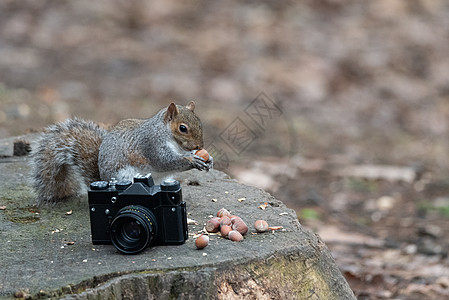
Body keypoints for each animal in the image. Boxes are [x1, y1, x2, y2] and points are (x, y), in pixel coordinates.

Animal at [31, 102, 212, 205]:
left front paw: (208, 159)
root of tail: (104, 179)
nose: (200, 145)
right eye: (183, 128)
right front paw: (192, 160)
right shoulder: (151, 144)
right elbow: (165, 161)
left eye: (200, 123)